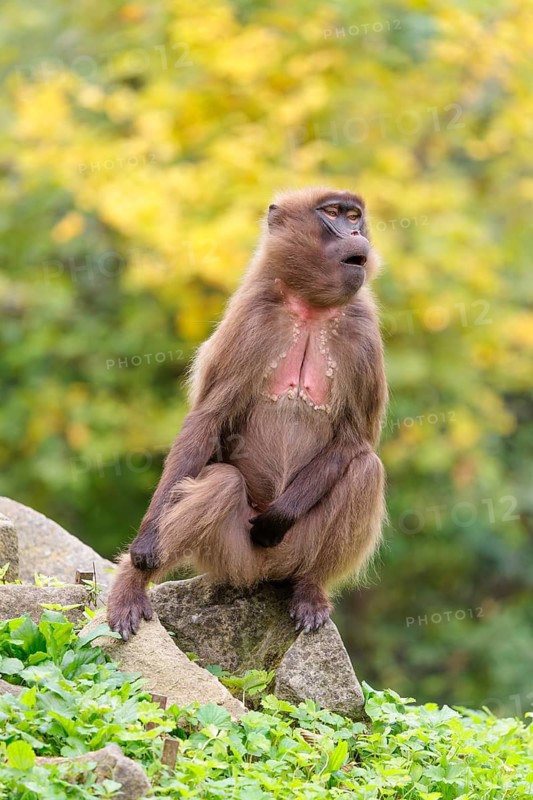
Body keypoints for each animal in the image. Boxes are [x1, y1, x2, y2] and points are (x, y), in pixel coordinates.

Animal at [107, 187, 387, 640]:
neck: (310, 306)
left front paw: (277, 517)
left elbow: (356, 439)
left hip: (296, 549)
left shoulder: (364, 330)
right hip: (231, 556)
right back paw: (132, 587)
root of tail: (266, 572)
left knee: (365, 471)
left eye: (354, 216)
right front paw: (145, 545)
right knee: (221, 481)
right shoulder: (253, 317)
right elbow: (208, 419)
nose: (356, 233)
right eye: (332, 213)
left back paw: (309, 589)